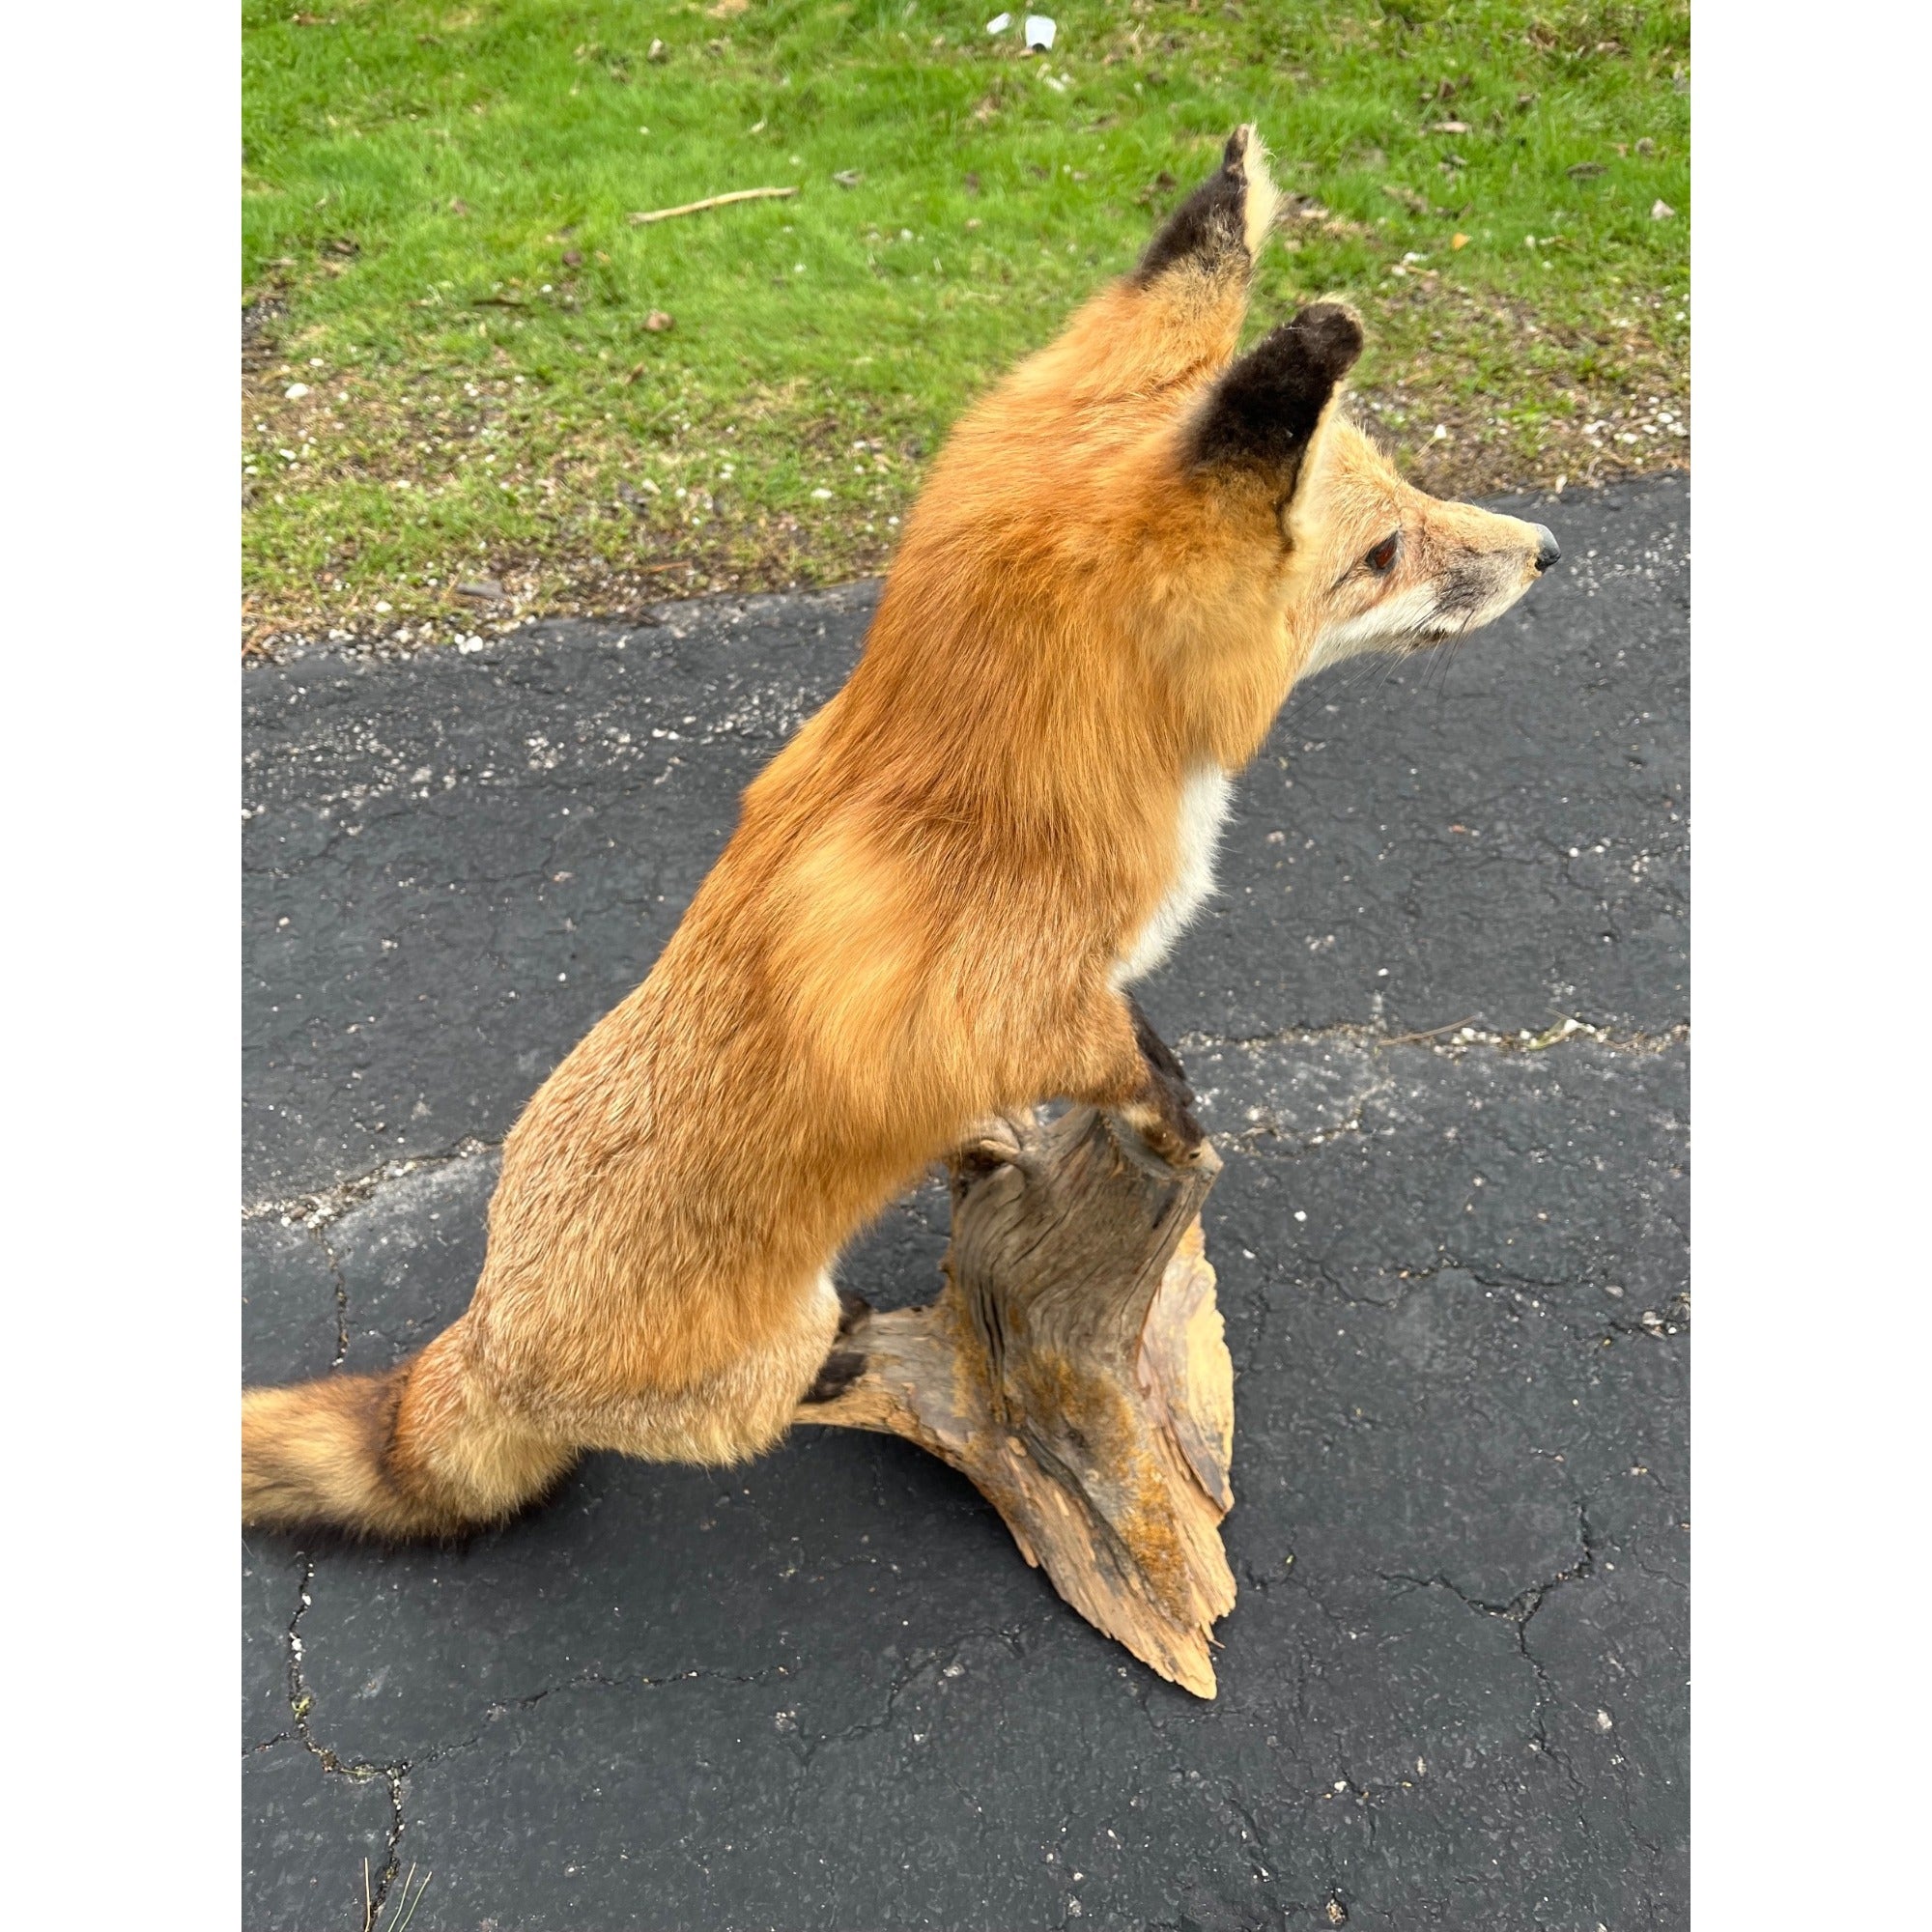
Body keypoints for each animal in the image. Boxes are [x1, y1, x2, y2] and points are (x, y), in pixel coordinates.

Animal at [243, 126, 1560, 1540]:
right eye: (1381, 551)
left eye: (1410, 492)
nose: (1546, 548)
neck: (1009, 782)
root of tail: (475, 1340)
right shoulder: (1022, 1001)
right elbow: (1128, 1071)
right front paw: (1171, 1115)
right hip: (762, 1352)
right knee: (766, 1403)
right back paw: (846, 1357)